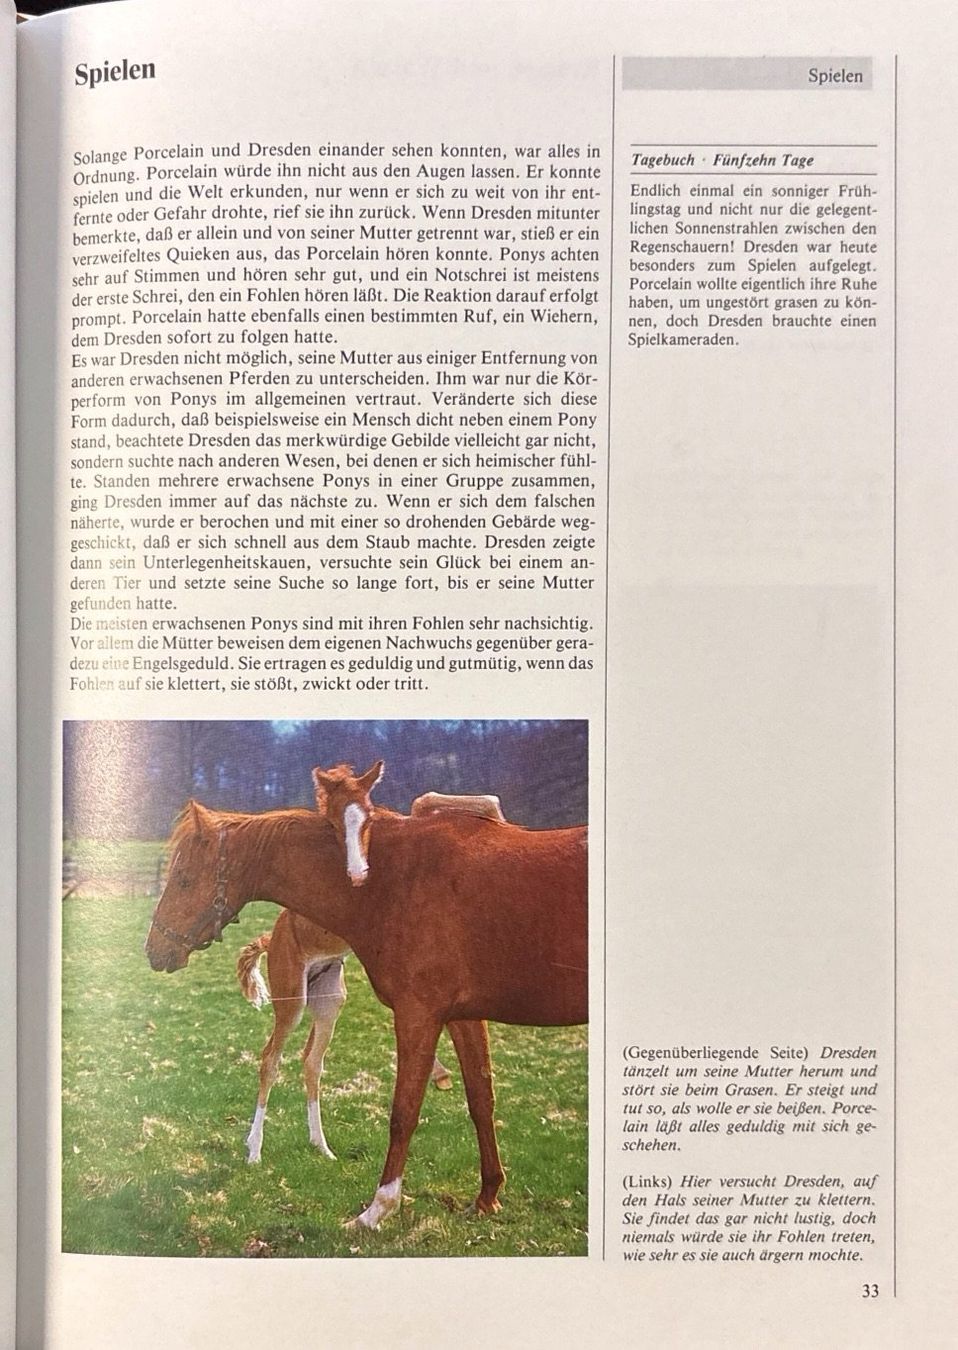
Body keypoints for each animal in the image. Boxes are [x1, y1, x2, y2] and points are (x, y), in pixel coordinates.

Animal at [236, 909, 452, 1164]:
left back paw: (321, 1146)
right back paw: (254, 1151)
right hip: (292, 1001)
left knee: (311, 1061)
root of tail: (273, 938)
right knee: (271, 1058)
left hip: (330, 1001)